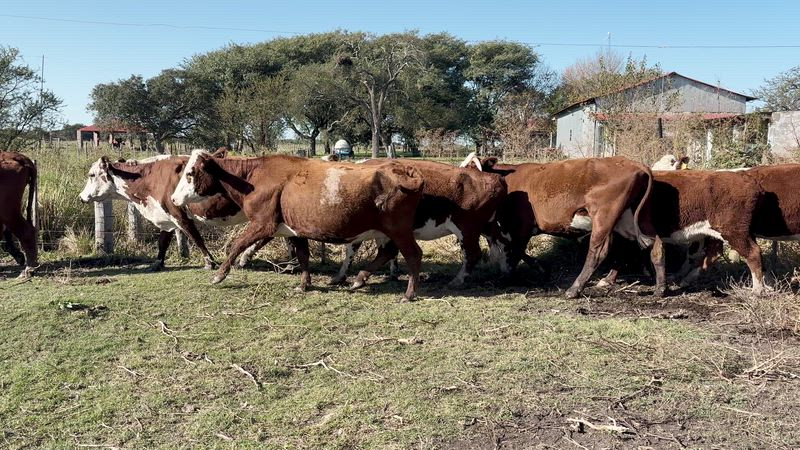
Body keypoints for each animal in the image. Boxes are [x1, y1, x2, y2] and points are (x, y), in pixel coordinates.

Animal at [79, 155, 268, 271]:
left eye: (91, 174)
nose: (81, 197)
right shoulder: (165, 217)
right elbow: (162, 242)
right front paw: (157, 264)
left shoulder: (180, 216)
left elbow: (196, 238)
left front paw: (209, 262)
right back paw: (246, 257)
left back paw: (245, 256)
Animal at [171, 150, 426, 301]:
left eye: (190, 173)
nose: (173, 198)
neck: (253, 178)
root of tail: (404, 170)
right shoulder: (293, 229)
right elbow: (303, 256)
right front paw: (304, 284)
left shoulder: (263, 223)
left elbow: (237, 245)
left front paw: (219, 275)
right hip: (387, 232)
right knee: (388, 252)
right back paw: (359, 279)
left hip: (399, 230)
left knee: (413, 254)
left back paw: (409, 294)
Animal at [331, 158, 507, 287]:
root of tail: (495, 178)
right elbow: (387, 252)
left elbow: (352, 250)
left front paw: (342, 276)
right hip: (487, 227)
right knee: (501, 245)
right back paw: (504, 272)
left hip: (466, 230)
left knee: (473, 254)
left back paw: (457, 280)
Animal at [461, 154, 658, 299]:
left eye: (472, 170)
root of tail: (634, 163)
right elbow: (514, 249)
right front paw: (540, 267)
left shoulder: (521, 226)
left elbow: (515, 251)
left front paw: (508, 277)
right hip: (631, 219)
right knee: (648, 245)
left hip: (604, 218)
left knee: (598, 252)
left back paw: (575, 289)